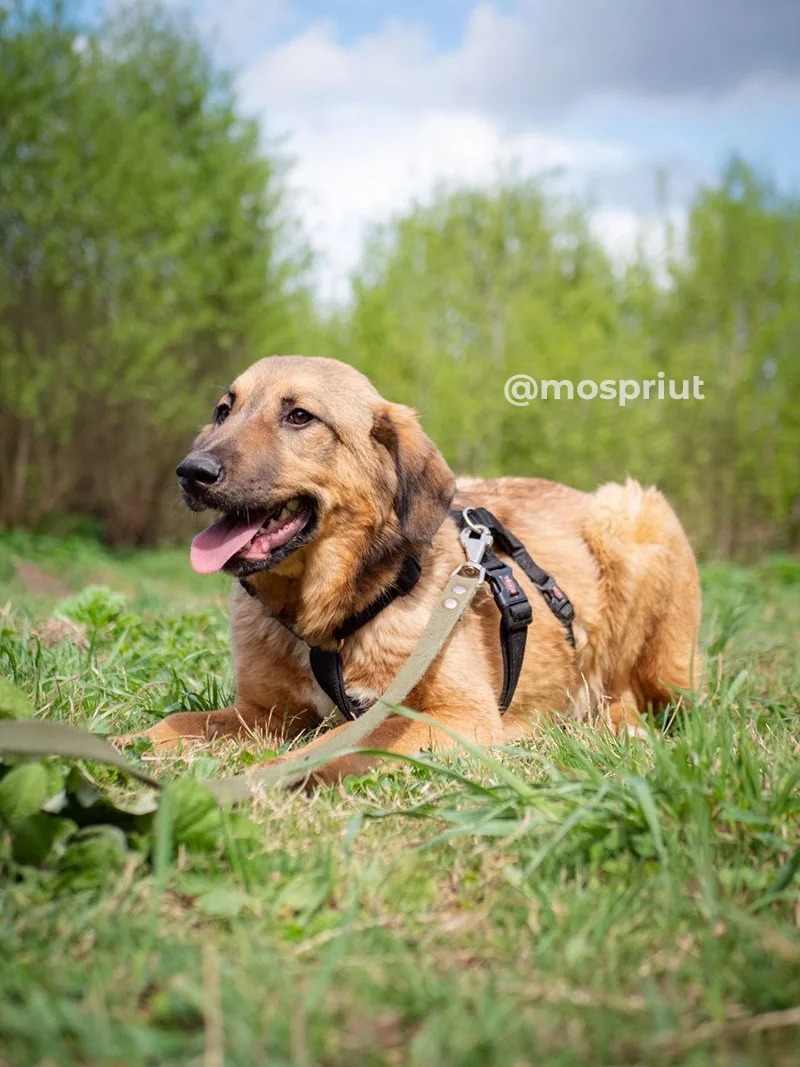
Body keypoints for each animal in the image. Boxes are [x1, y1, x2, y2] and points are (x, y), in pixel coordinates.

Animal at [140, 354, 704, 781]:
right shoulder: (264, 712)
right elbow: (176, 723)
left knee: (638, 696)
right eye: (223, 411)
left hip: (637, 527)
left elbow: (339, 739)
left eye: (299, 416)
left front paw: (270, 776)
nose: (191, 472)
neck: (327, 619)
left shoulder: (459, 714)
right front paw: (128, 746)